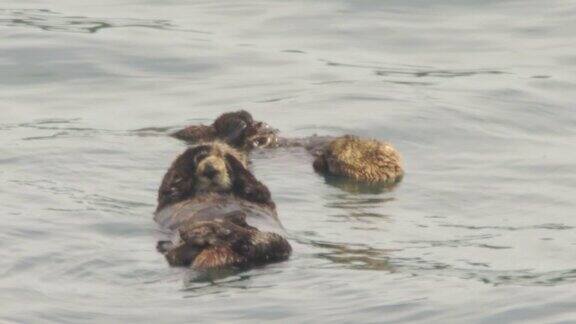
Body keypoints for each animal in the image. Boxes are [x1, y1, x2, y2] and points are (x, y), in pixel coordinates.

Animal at [154, 142, 290, 270]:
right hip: (177, 252)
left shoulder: (259, 197)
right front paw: (201, 150)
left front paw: (226, 155)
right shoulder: (169, 199)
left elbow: (253, 184)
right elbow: (172, 182)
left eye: (219, 156)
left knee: (255, 243)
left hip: (276, 242)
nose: (210, 169)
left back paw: (219, 229)